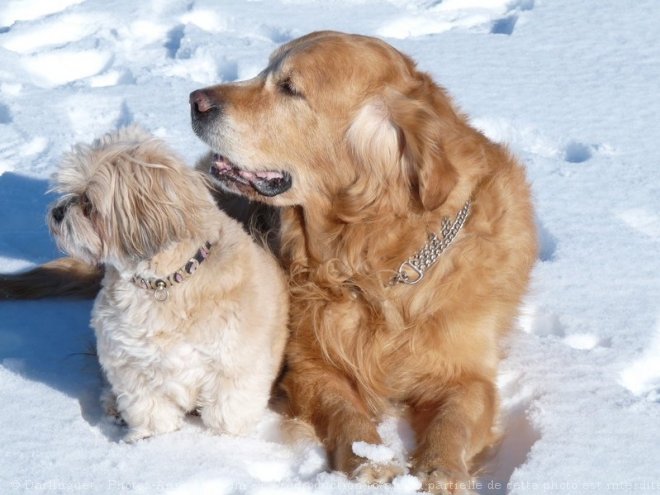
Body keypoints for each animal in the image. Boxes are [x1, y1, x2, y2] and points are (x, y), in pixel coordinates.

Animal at [49, 126, 288, 444]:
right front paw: (151, 442)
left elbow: (227, 414)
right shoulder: (132, 367)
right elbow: (150, 412)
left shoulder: (235, 366)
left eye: (88, 203)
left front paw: (221, 444)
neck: (164, 283)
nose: (57, 212)